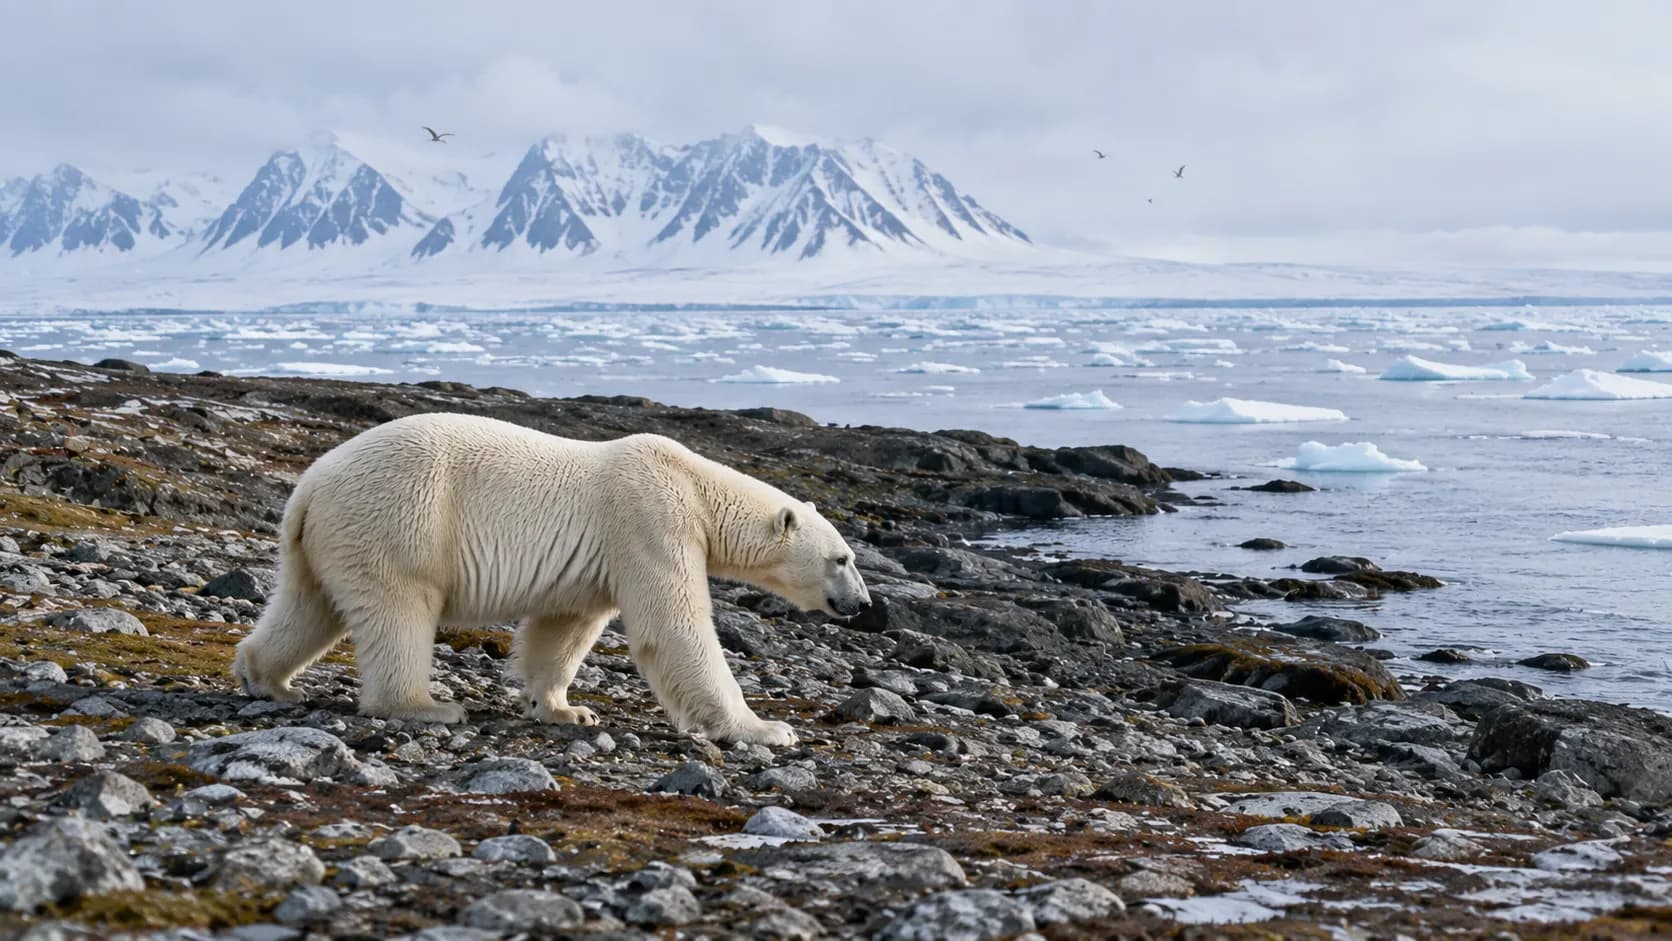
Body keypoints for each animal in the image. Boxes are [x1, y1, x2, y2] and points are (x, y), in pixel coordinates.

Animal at [232, 411, 871, 746]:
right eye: (843, 558)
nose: (863, 604)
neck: (695, 485)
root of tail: (309, 487)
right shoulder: (649, 519)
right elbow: (674, 627)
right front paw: (765, 728)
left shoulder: (598, 561)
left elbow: (564, 628)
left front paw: (566, 709)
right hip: (401, 519)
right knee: (400, 610)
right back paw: (426, 706)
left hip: (328, 539)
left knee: (308, 606)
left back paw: (271, 680)